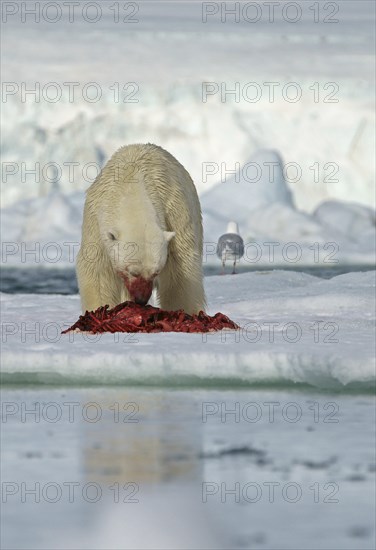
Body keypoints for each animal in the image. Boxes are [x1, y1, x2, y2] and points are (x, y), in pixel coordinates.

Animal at [76, 143, 206, 314]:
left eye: (156, 271)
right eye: (133, 271)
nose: (141, 299)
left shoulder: (175, 212)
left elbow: (180, 270)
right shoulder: (96, 221)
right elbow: (97, 270)